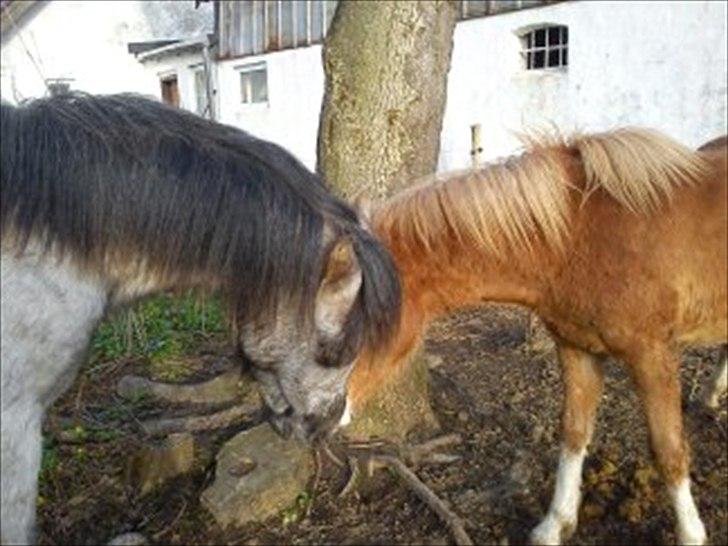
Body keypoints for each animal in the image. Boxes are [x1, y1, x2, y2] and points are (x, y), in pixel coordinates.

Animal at [346, 128, 726, 545]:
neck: (579, 235)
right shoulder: (577, 349)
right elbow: (574, 432)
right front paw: (555, 524)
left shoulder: (653, 356)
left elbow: (668, 449)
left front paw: (691, 533)